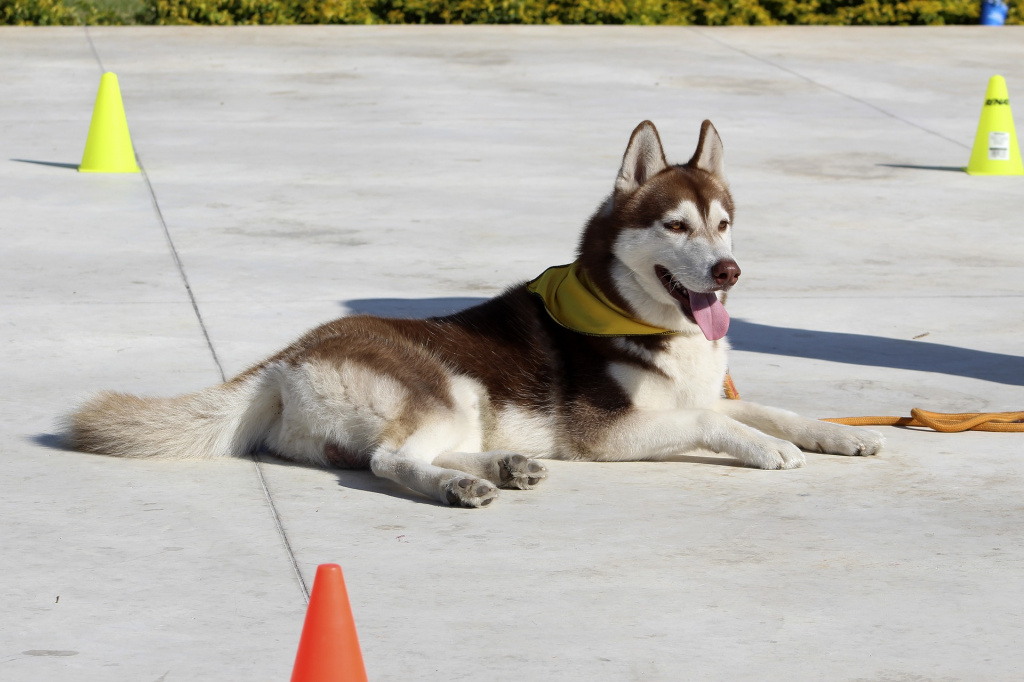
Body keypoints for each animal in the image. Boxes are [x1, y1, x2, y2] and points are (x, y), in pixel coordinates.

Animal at [68, 120, 884, 503]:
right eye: (676, 226)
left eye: (723, 224)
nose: (728, 271)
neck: (641, 320)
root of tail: (285, 358)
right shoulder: (609, 433)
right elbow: (718, 422)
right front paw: (767, 450)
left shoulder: (699, 392)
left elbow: (768, 408)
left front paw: (836, 435)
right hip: (446, 384)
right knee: (389, 459)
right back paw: (460, 486)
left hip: (464, 404)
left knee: (398, 452)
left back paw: (502, 464)